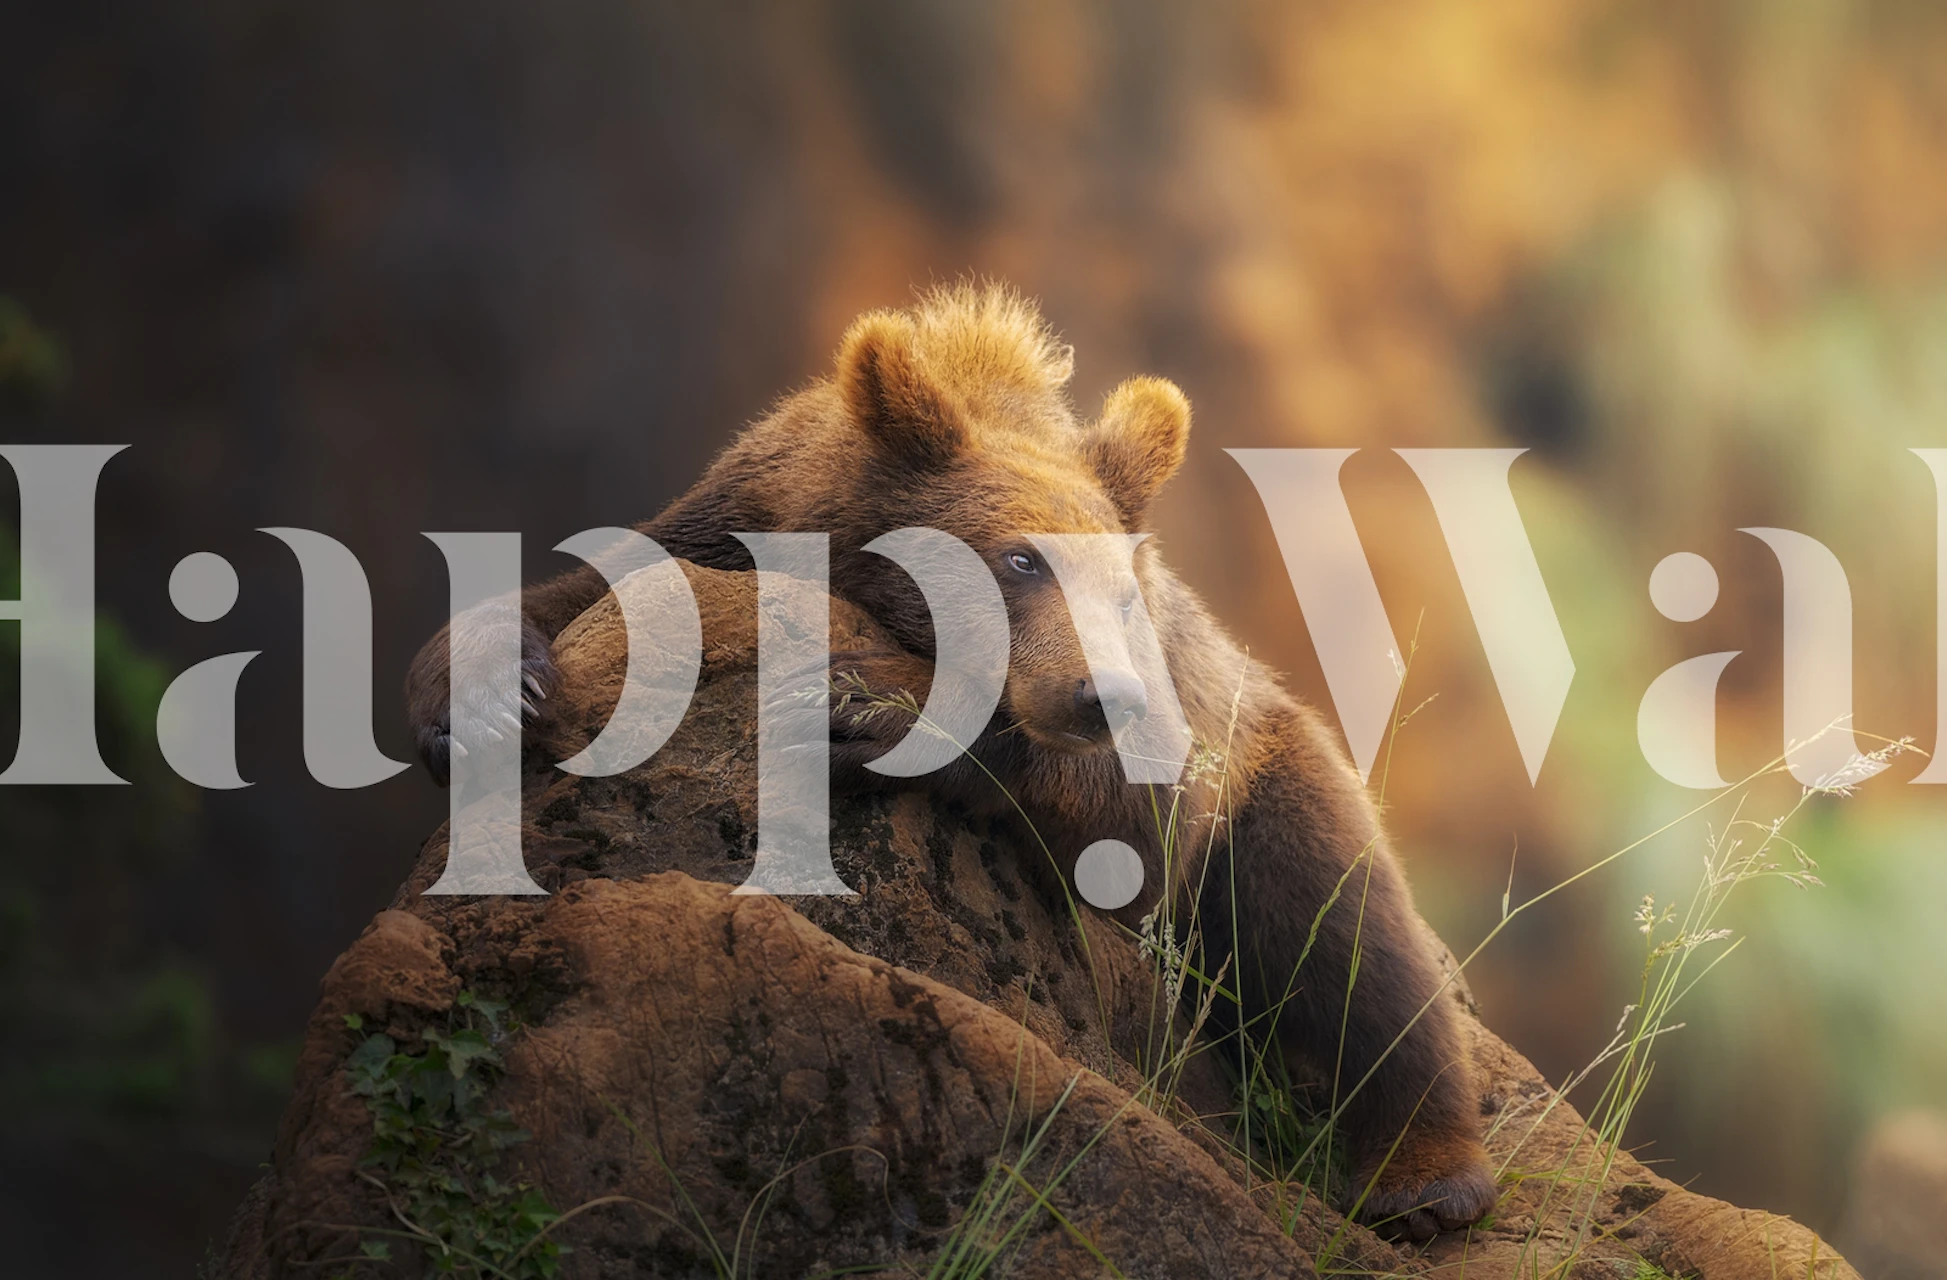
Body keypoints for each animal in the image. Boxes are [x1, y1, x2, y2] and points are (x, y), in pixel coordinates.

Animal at [404, 283, 1498, 1240]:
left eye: (1122, 589)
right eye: (1019, 558)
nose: (1103, 694)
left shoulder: (1175, 723)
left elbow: (1132, 819)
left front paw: (864, 712)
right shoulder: (720, 521)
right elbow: (564, 595)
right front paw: (485, 700)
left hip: (1272, 761)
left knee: (1346, 937)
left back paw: (1425, 1180)